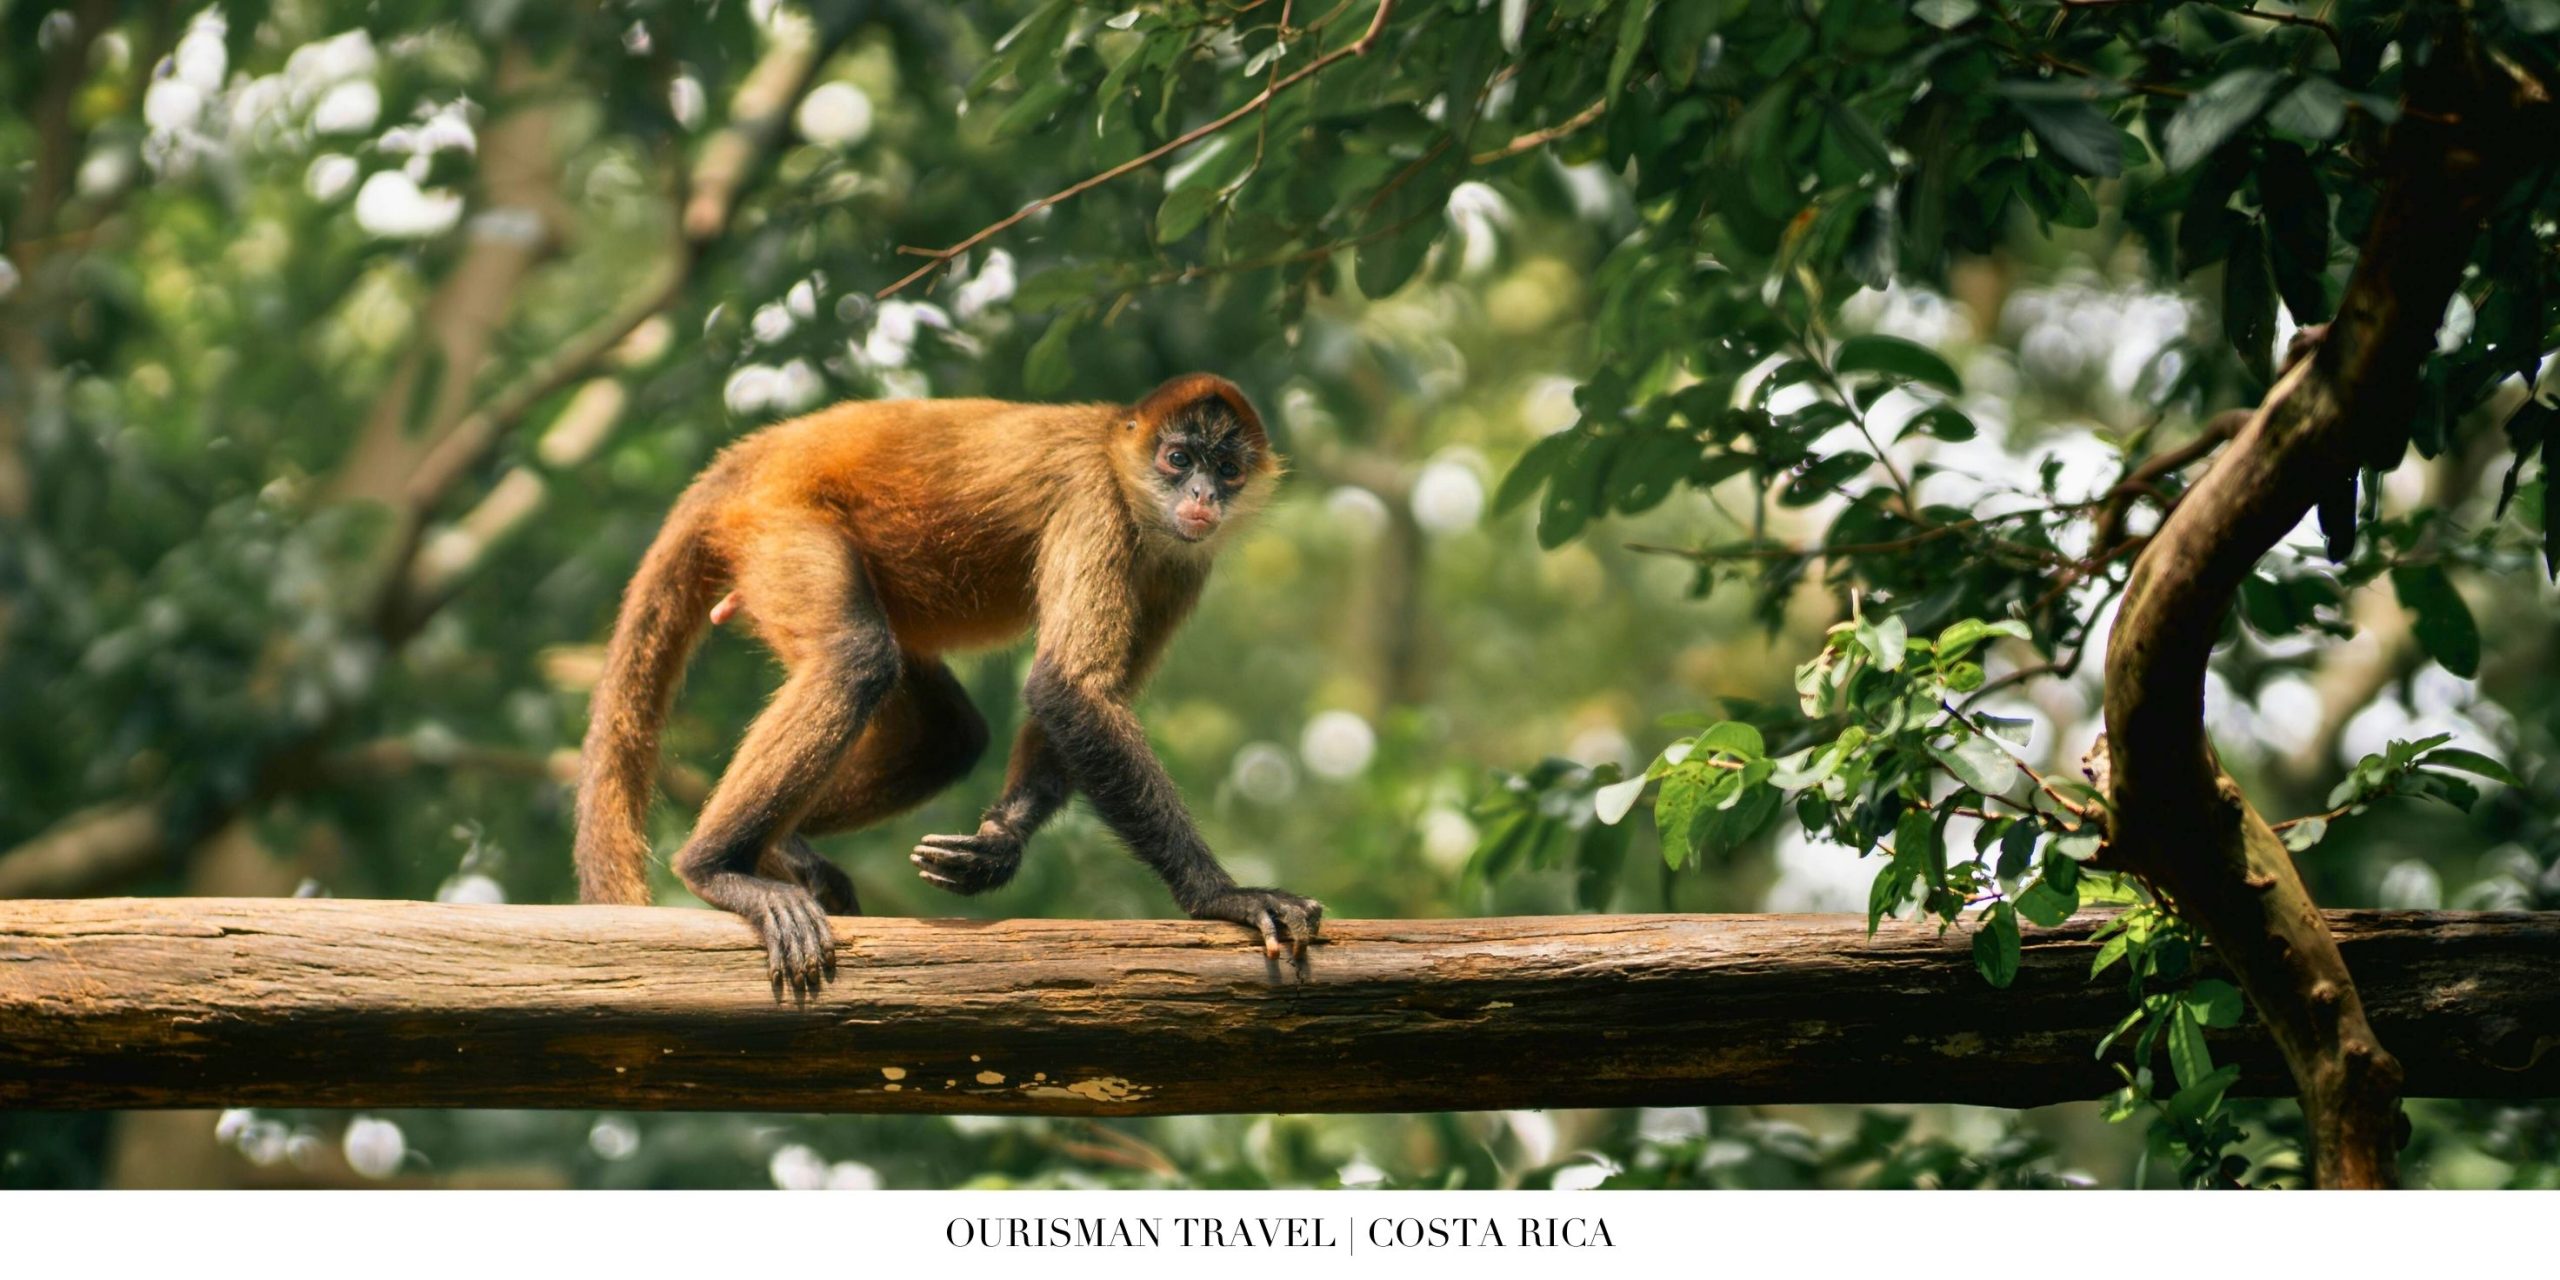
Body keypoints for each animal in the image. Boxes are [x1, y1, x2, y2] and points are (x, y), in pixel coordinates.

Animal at [572, 372, 1321, 994]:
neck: (1116, 453)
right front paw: (1223, 897)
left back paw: (780, 848)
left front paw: (996, 850)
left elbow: (1074, 702)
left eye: (1227, 469)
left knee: (948, 737)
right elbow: (1068, 688)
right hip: (777, 520)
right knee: (856, 658)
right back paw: (718, 869)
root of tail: (751, 456)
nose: (1201, 496)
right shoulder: (1095, 496)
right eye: (1178, 460)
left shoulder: (1182, 561)